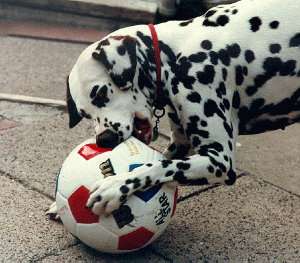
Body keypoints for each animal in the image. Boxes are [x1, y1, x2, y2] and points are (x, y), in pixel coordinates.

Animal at [64, 0, 298, 218]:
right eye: (84, 114)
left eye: (101, 93)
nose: (104, 140)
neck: (174, 55)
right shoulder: (181, 146)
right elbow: (161, 161)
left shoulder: (220, 160)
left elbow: (157, 166)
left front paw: (117, 185)